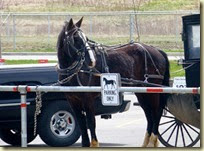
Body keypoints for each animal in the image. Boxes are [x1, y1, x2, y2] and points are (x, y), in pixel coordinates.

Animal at [56, 17, 170, 147]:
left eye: (86, 39)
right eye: (76, 38)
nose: (92, 61)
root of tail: (157, 50)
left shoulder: (87, 99)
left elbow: (91, 123)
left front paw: (94, 144)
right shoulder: (73, 101)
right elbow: (82, 125)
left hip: (153, 91)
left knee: (156, 112)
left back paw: (153, 140)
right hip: (141, 91)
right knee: (149, 115)